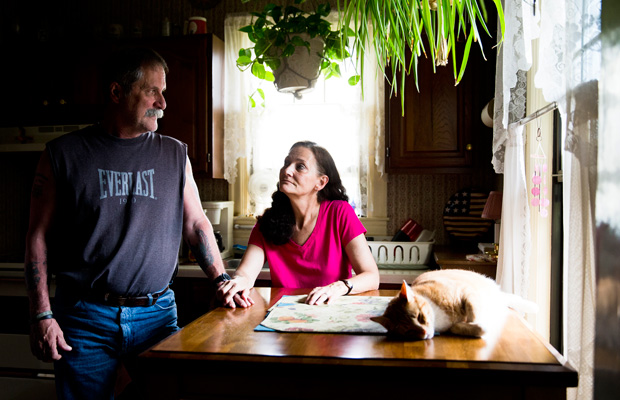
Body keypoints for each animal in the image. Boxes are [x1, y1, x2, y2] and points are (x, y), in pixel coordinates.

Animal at [368, 268, 536, 340]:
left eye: (420, 317)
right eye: (407, 331)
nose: (424, 332)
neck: (439, 319)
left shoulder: (466, 292)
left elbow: (477, 319)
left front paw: (469, 322)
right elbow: (475, 329)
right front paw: (459, 327)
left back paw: (533, 306)